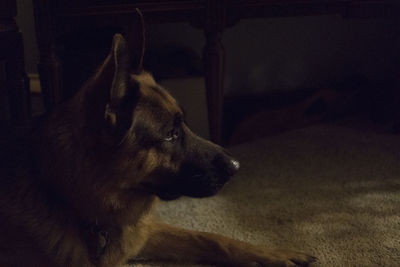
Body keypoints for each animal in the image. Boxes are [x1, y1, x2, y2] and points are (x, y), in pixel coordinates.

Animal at [0, 19, 316, 267]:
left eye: (183, 125)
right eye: (170, 135)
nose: (237, 166)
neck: (65, 196)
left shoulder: (143, 233)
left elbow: (209, 237)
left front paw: (271, 253)